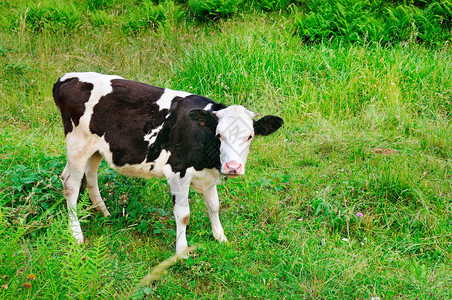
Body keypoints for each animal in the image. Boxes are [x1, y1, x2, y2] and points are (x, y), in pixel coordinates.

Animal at [53, 72, 282, 255]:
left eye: (250, 136)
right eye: (219, 135)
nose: (233, 167)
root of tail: (66, 78)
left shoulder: (209, 177)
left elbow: (214, 206)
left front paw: (220, 238)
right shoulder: (178, 172)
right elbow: (183, 215)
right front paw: (182, 252)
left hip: (96, 148)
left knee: (89, 176)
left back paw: (104, 212)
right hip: (77, 145)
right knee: (70, 184)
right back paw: (76, 233)